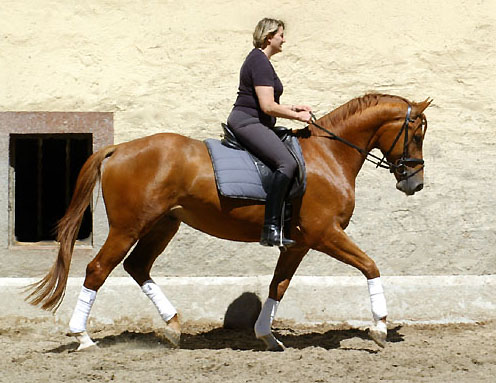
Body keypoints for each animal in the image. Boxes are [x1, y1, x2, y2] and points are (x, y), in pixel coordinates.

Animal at [26, 93, 430, 352]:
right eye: (416, 133)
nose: (415, 183)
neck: (328, 155)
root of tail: (117, 149)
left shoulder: (298, 244)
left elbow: (278, 285)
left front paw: (267, 336)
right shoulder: (325, 234)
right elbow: (370, 266)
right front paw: (379, 327)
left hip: (163, 225)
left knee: (137, 266)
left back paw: (173, 328)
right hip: (127, 228)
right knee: (97, 270)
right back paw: (82, 337)